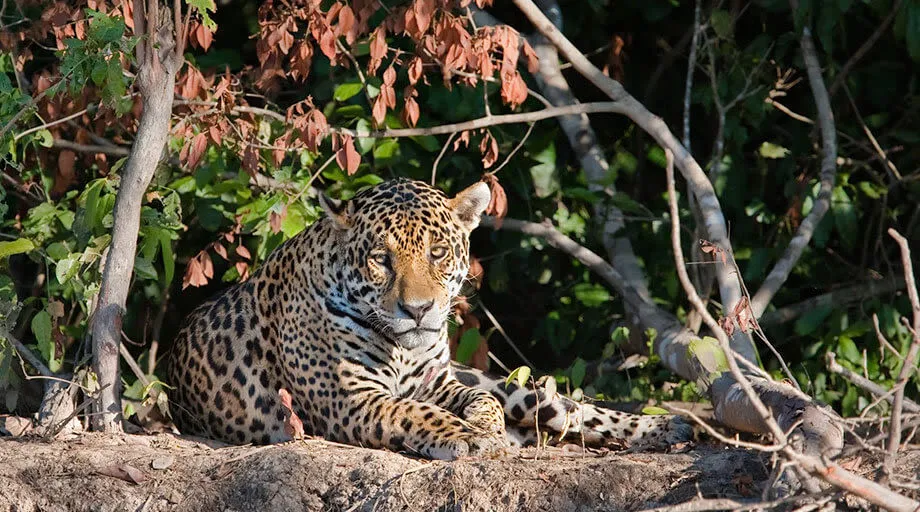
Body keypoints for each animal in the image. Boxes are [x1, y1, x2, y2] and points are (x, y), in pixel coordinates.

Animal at [168, 178, 692, 460]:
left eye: (437, 253)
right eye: (381, 259)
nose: (418, 310)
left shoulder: (440, 381)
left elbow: (480, 401)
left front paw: (485, 427)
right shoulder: (351, 400)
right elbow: (420, 414)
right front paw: (473, 439)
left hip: (514, 385)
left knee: (569, 409)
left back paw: (664, 429)